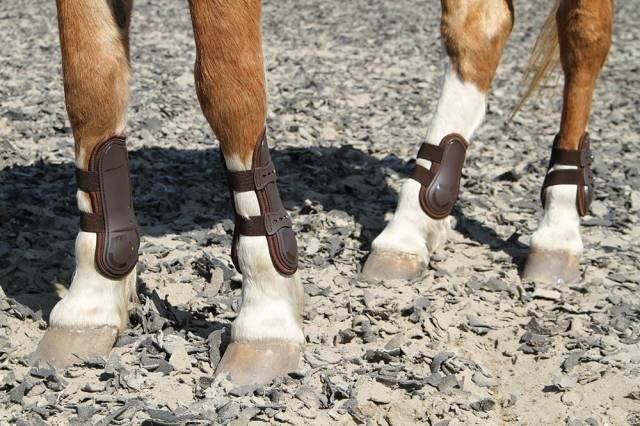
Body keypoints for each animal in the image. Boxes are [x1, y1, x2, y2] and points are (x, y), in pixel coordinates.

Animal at [33, 0, 614, 386]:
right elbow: (90, 87)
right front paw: (90, 301)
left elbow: (229, 87)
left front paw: (266, 314)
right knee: (481, 27)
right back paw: (409, 231)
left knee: (586, 38)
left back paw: (559, 228)